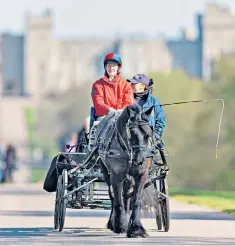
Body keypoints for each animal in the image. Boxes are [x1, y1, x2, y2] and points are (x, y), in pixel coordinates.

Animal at [94, 104, 153, 238]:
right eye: (132, 133)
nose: (140, 160)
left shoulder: (142, 175)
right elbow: (118, 201)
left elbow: (136, 201)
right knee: (113, 196)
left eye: (148, 134)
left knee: (126, 196)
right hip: (106, 173)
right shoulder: (116, 176)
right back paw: (114, 223)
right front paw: (120, 225)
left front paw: (136, 229)